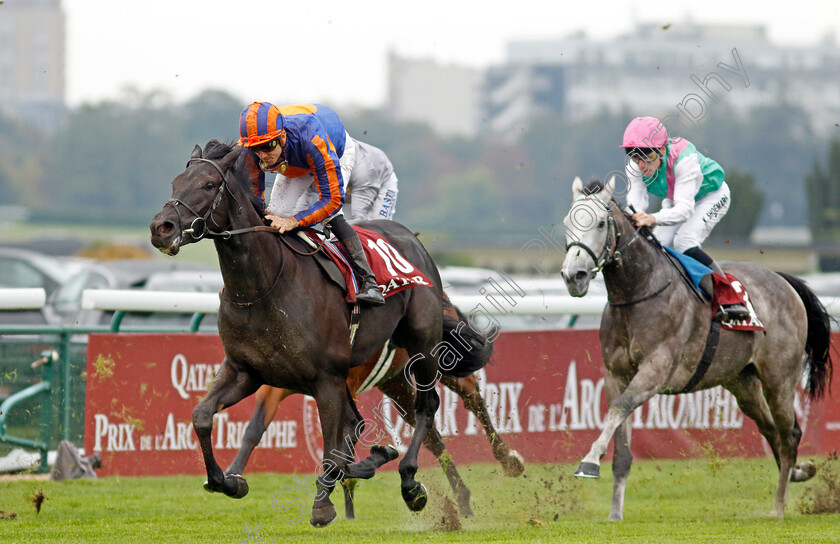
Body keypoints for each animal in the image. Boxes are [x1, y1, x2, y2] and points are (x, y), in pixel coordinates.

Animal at [149, 141, 492, 528]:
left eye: (209, 184)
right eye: (176, 182)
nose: (161, 227)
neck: (265, 287)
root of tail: (412, 241)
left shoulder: (327, 379)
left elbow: (332, 446)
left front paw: (323, 505)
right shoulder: (246, 371)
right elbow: (203, 416)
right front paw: (226, 480)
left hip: (423, 347)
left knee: (428, 406)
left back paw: (415, 483)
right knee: (375, 425)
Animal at [225, 294, 524, 520]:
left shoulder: (345, 384)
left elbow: (343, 443)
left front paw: (343, 495)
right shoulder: (273, 387)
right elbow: (253, 430)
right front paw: (231, 475)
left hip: (438, 362)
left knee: (473, 399)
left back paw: (508, 459)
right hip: (396, 382)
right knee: (430, 433)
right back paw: (461, 496)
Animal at [560, 176, 832, 520]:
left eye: (599, 223)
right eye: (566, 224)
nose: (574, 276)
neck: (638, 291)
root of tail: (784, 281)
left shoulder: (656, 371)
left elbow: (619, 409)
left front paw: (588, 462)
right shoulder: (616, 375)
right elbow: (620, 443)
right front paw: (614, 515)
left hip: (779, 378)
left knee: (789, 435)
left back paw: (778, 507)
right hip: (742, 382)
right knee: (771, 430)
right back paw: (799, 471)